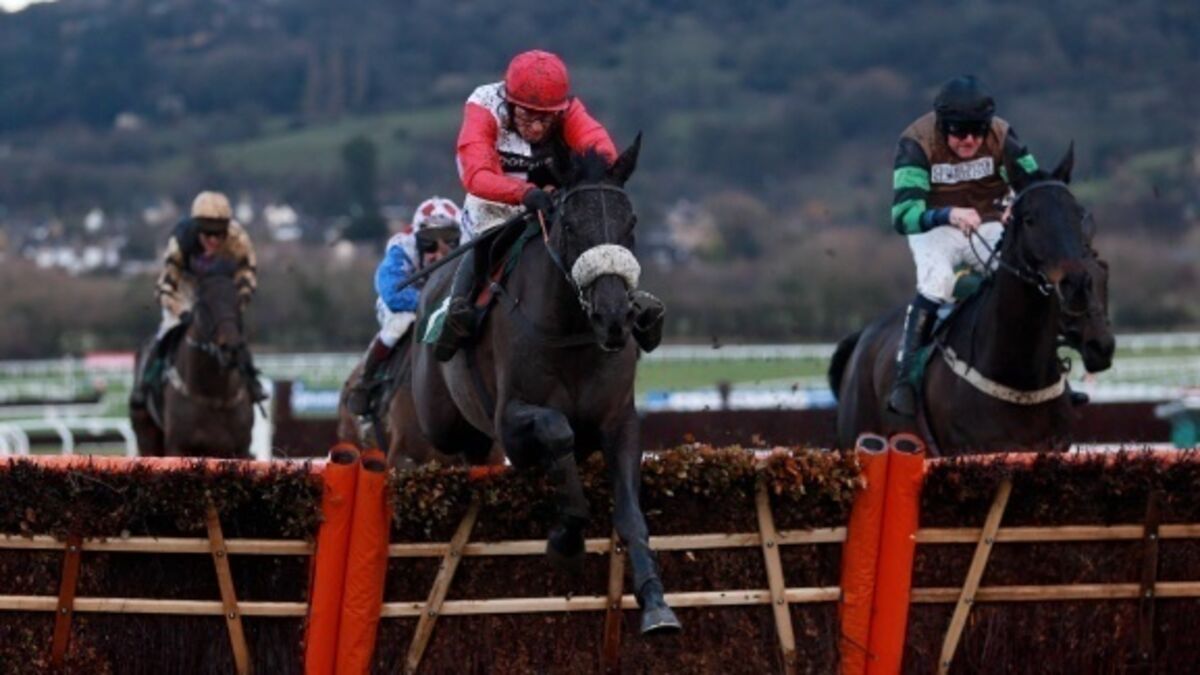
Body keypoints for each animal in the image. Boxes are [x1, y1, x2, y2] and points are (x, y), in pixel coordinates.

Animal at [130, 259, 255, 458]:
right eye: (204, 302)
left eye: (238, 301)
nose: (231, 348)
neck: (214, 395)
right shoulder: (178, 447)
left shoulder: (239, 448)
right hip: (146, 434)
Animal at [410, 138, 681, 635]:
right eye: (571, 224)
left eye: (631, 222)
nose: (614, 317)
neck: (571, 330)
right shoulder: (511, 418)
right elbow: (557, 431)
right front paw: (566, 540)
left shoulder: (619, 420)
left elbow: (630, 513)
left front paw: (656, 603)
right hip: (440, 421)